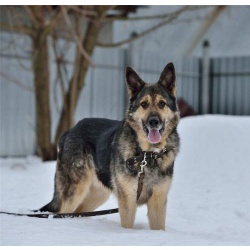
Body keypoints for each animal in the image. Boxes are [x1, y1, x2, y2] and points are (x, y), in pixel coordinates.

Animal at [39, 62, 180, 230]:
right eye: (144, 104)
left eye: (162, 104)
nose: (153, 122)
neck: (147, 154)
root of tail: (69, 131)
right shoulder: (128, 200)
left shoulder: (158, 200)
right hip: (75, 190)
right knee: (60, 213)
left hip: (97, 194)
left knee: (77, 212)